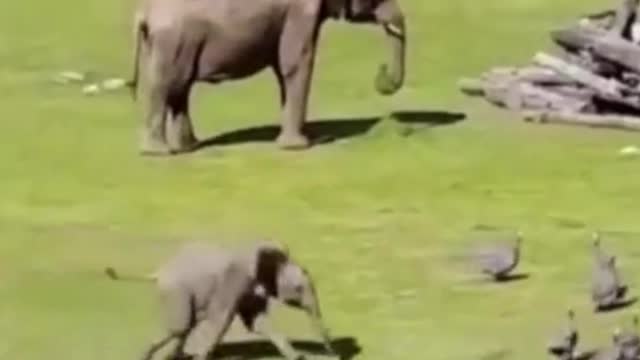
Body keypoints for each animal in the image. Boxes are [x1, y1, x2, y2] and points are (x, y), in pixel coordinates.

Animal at [104, 242, 336, 360]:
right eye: (298, 288)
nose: (333, 353)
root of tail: (158, 272)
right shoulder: (234, 280)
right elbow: (222, 319)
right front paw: (201, 358)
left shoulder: (249, 288)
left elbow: (256, 322)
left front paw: (295, 357)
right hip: (177, 293)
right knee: (180, 327)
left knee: (185, 327)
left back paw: (174, 357)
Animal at [129, 0, 404, 155]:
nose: (381, 74)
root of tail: (144, 13)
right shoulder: (299, 13)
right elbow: (296, 63)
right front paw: (299, 147)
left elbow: (284, 69)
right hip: (173, 40)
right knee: (165, 86)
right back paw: (159, 153)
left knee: (179, 88)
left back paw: (187, 148)